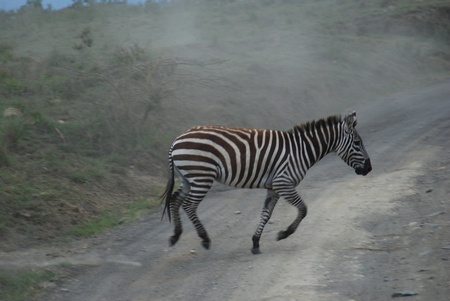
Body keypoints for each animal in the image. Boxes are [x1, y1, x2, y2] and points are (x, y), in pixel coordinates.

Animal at [160, 110, 370, 253]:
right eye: (357, 143)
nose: (369, 168)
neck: (301, 150)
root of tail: (176, 140)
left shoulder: (273, 187)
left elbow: (266, 214)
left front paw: (255, 242)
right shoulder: (284, 183)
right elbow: (303, 209)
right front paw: (284, 233)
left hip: (189, 178)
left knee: (175, 200)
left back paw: (175, 235)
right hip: (201, 176)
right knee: (189, 205)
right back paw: (204, 239)